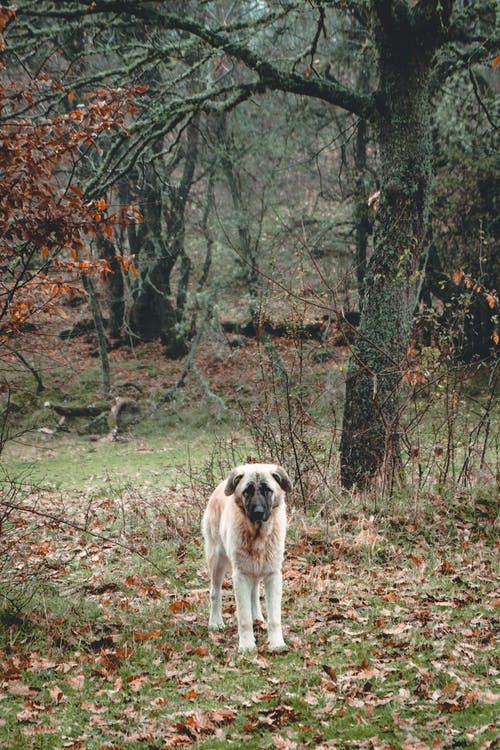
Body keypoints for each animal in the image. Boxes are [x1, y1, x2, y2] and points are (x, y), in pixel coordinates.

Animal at [201, 464, 292, 652]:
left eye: (267, 490)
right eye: (247, 491)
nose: (258, 512)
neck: (258, 535)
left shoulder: (273, 575)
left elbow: (274, 616)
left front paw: (277, 643)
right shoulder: (241, 576)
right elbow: (243, 618)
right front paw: (247, 645)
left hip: (254, 567)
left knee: (254, 592)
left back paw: (257, 617)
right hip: (218, 561)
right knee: (215, 592)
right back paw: (215, 622)